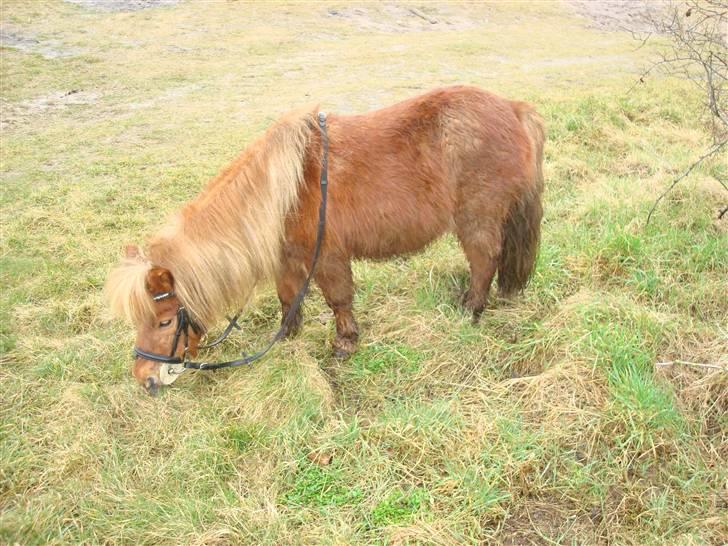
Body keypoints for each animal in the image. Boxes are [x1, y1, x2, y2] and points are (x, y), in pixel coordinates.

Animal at [105, 85, 545, 394]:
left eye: (164, 320)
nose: (144, 378)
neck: (286, 191)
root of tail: (513, 107)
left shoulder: (327, 256)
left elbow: (338, 298)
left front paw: (345, 344)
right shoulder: (287, 260)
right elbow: (288, 299)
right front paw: (287, 338)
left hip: (477, 220)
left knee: (484, 261)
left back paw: (470, 309)